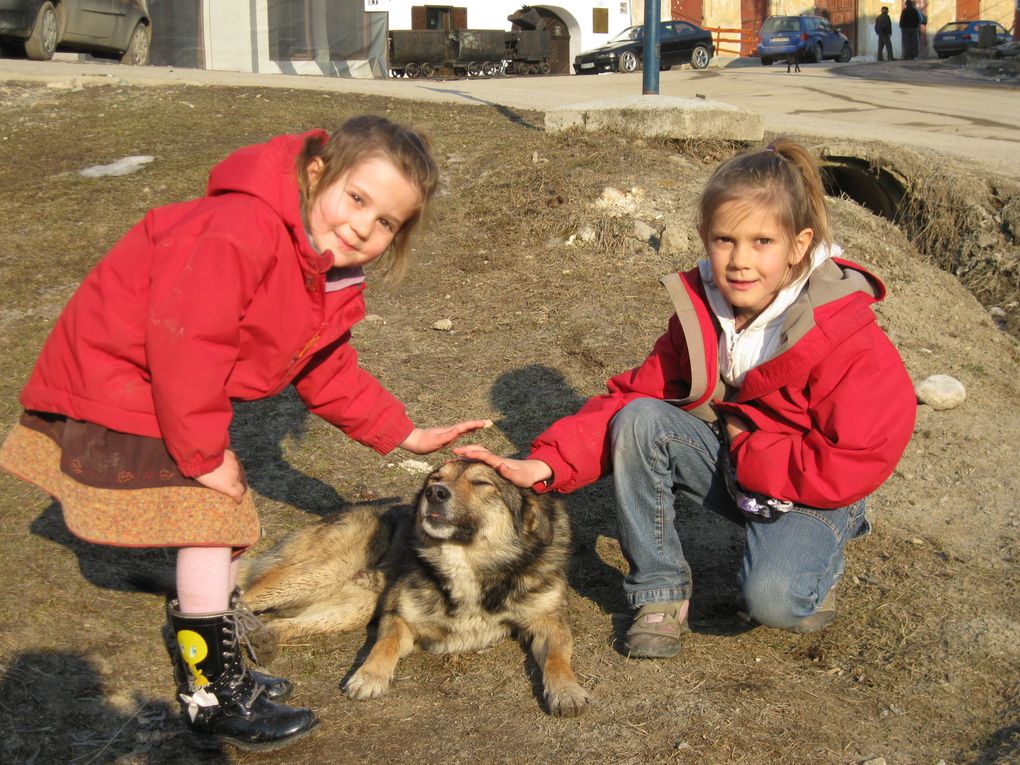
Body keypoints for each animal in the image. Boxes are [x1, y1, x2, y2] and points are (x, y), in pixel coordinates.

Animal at [239, 461, 591, 718]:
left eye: (482, 483)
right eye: (436, 478)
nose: (434, 493)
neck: (468, 563)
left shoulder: (550, 621)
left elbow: (558, 657)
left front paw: (566, 691)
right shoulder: (399, 617)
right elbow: (384, 646)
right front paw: (369, 676)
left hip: (354, 606)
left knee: (280, 622)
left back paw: (263, 639)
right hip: (318, 572)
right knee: (242, 596)